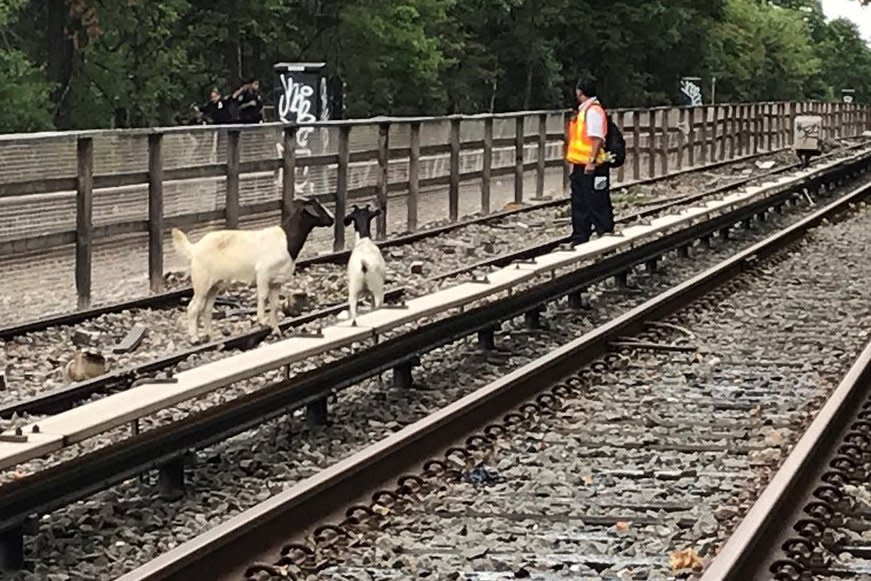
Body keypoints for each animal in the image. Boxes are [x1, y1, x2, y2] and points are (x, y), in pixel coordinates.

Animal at [170, 196, 334, 340]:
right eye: (318, 209)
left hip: (214, 285)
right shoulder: (263, 273)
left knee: (207, 309)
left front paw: (276, 330)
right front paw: (261, 321)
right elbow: (262, 296)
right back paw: (194, 339)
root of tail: (194, 248)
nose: (332, 220)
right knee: (193, 308)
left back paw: (209, 336)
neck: (286, 241)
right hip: (202, 282)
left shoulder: (276, 282)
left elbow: (275, 305)